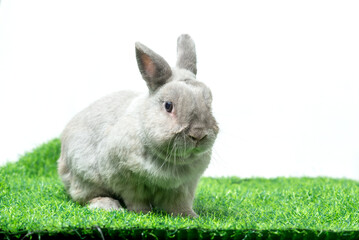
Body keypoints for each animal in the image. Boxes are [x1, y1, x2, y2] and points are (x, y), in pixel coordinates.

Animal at [58, 34, 219, 218]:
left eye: (209, 104)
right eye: (168, 105)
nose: (198, 134)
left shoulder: (183, 187)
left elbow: (178, 205)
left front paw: (190, 216)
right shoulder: (127, 179)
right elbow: (135, 199)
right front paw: (142, 213)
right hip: (84, 177)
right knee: (88, 196)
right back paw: (108, 205)